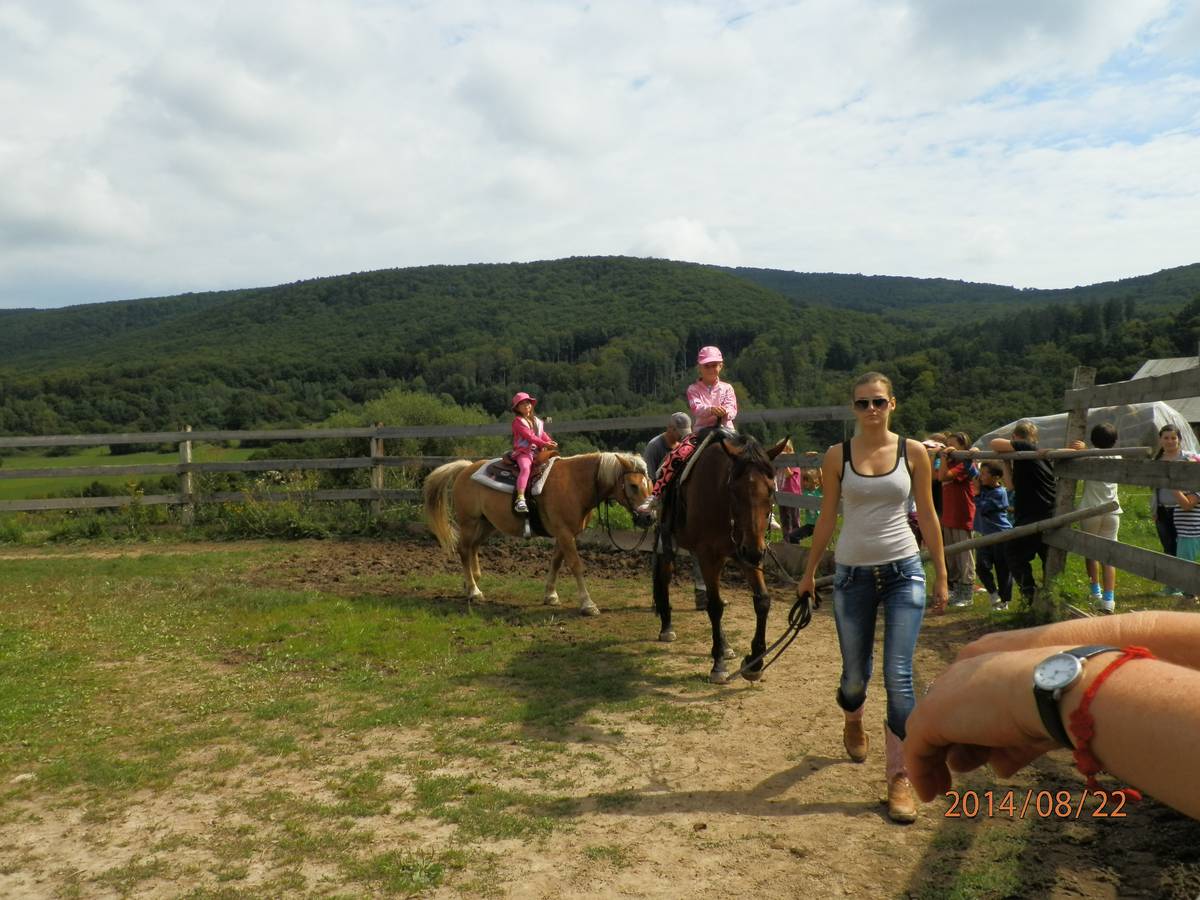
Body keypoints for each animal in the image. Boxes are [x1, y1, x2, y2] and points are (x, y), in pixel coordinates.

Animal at [423, 452, 653, 615]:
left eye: (650, 484)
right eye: (633, 485)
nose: (649, 518)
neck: (575, 484)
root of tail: (465, 469)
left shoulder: (565, 534)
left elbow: (556, 562)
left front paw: (550, 595)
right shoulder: (564, 533)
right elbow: (576, 565)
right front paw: (588, 604)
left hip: (487, 524)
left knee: (473, 547)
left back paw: (472, 581)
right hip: (469, 522)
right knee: (463, 549)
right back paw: (473, 591)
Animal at [652, 431, 790, 684]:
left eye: (770, 490)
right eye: (734, 490)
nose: (754, 551)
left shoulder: (747, 554)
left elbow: (762, 601)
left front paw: (755, 661)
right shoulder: (709, 554)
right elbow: (715, 606)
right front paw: (718, 665)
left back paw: (725, 646)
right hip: (668, 540)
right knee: (664, 576)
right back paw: (667, 627)